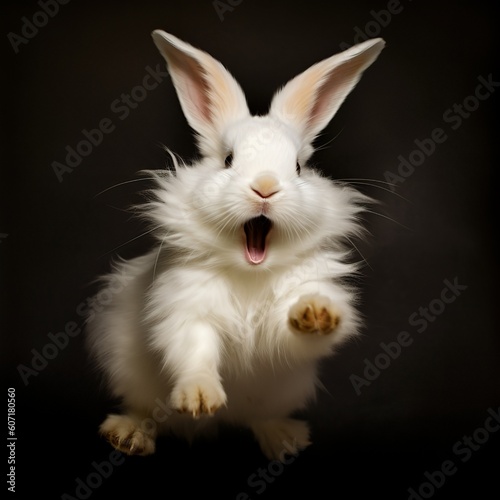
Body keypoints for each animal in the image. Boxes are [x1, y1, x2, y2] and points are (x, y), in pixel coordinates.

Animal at [86, 30, 384, 460]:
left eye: (298, 167)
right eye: (228, 160)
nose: (265, 187)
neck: (249, 271)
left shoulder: (286, 332)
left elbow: (296, 333)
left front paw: (316, 313)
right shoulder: (185, 310)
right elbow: (194, 350)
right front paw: (198, 398)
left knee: (261, 418)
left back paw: (284, 439)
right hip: (130, 375)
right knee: (145, 411)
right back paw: (128, 435)